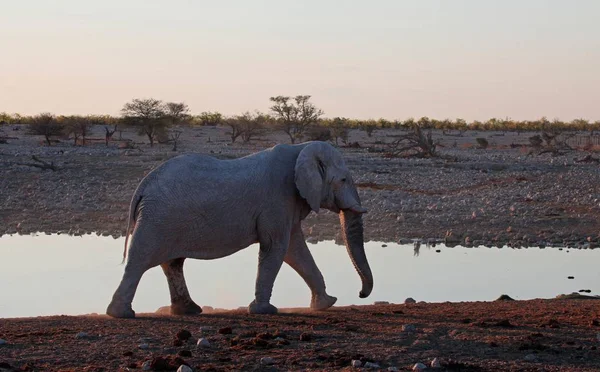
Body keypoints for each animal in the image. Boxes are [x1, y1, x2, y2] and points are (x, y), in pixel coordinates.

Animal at [105, 140, 372, 316]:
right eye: (344, 180)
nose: (360, 294)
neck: (300, 150)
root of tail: (143, 185)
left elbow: (295, 250)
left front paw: (326, 303)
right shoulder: (277, 199)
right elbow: (277, 247)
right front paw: (265, 311)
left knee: (172, 263)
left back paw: (189, 311)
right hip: (157, 219)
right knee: (140, 261)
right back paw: (121, 314)